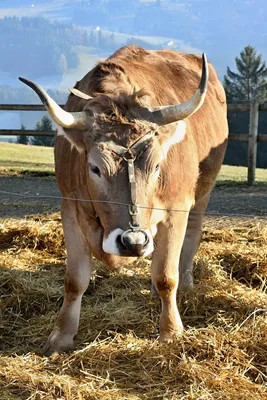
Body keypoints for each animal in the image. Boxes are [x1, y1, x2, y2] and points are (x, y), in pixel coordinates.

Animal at [19, 45, 228, 354]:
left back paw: (187, 281)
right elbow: (74, 280)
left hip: (203, 190)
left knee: (191, 237)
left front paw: (171, 332)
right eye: (95, 168)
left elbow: (166, 276)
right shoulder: (70, 208)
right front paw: (61, 336)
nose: (133, 241)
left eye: (157, 165)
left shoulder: (176, 209)